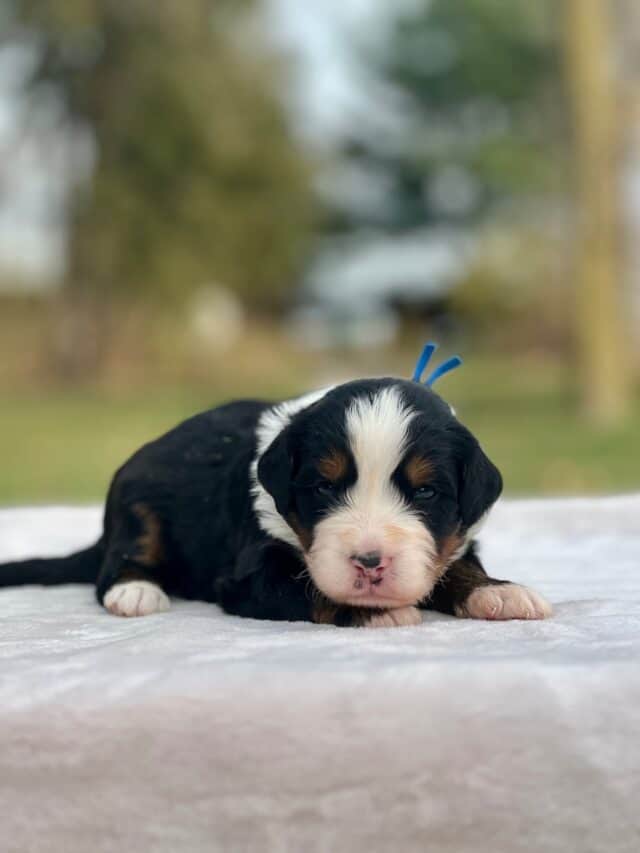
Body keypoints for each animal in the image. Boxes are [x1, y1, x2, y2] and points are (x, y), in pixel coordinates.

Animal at [0, 380, 552, 624]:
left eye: (425, 491)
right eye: (323, 487)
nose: (369, 563)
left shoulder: (456, 541)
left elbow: (458, 566)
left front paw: (498, 593)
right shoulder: (250, 574)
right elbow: (307, 588)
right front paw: (378, 612)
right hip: (136, 506)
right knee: (117, 564)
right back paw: (136, 591)